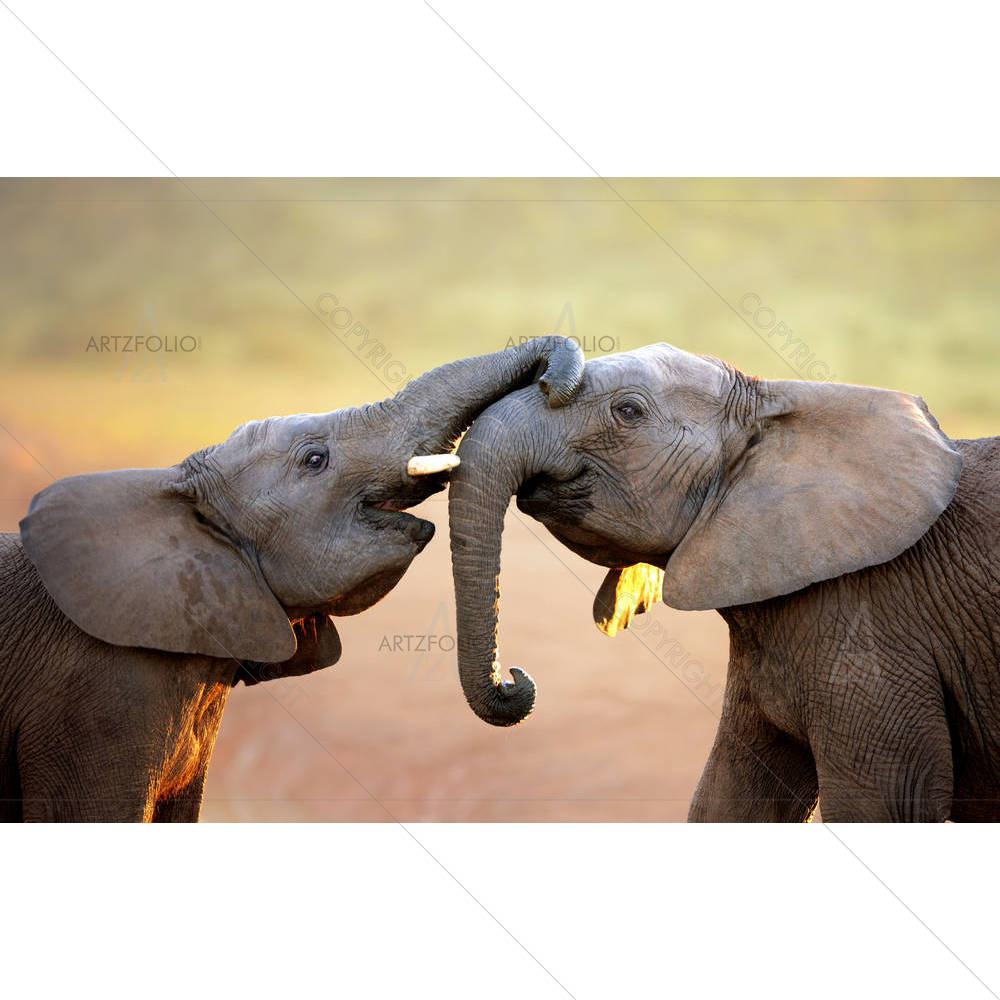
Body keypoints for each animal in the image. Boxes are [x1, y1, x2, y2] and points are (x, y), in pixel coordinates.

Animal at [447, 342, 1000, 822]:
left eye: (628, 411)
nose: (513, 679)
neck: (774, 403)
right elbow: (730, 799)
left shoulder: (875, 627)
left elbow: (884, 805)